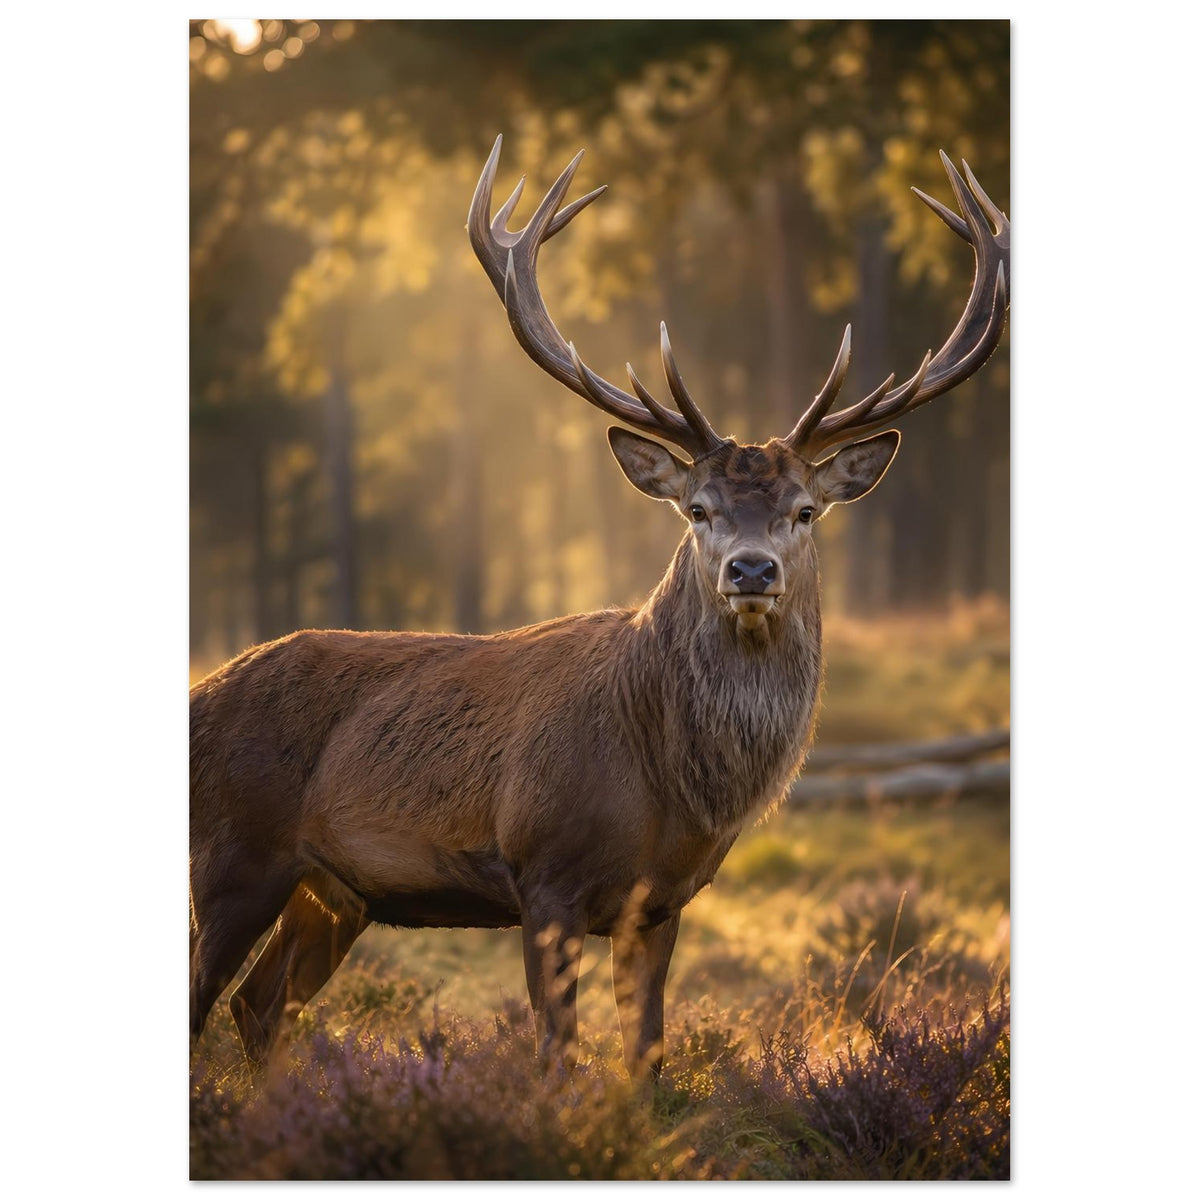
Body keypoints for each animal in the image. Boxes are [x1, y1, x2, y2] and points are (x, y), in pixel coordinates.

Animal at [189, 135, 1009, 1079]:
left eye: (805, 510)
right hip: (233, 855)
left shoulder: (663, 901)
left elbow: (645, 1056)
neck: (666, 781)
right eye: (698, 510)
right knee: (207, 1002)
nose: (752, 570)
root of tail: (199, 695)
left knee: (259, 1005)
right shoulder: (543, 873)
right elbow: (555, 1055)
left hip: (337, 890)